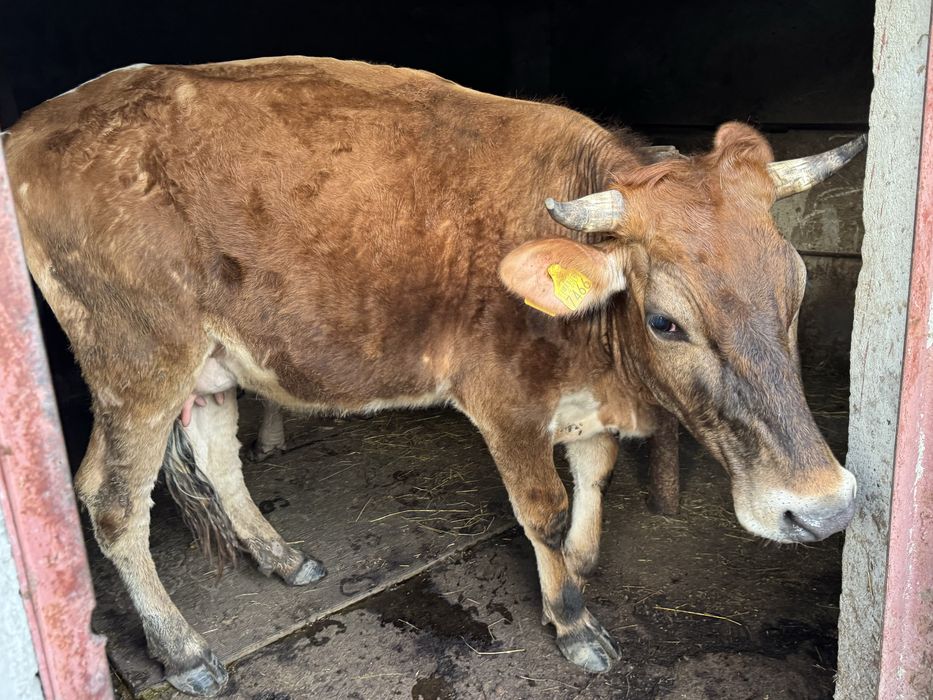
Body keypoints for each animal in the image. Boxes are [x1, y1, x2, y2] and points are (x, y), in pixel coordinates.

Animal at [3, 57, 863, 696]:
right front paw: (572, 620)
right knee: (112, 503)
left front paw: (582, 561)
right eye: (664, 322)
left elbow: (595, 471)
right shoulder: (507, 404)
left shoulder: (583, 402)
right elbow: (544, 510)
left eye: (796, 289)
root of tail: (34, 124)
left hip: (212, 362)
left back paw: (280, 558)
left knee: (217, 460)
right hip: (137, 362)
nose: (820, 509)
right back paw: (183, 650)